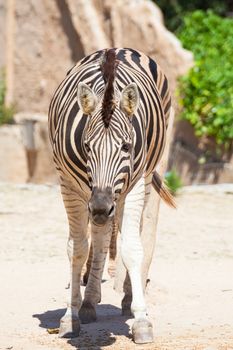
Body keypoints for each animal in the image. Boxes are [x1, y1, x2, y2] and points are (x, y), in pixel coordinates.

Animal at [48, 47, 174, 344]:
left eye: (126, 146)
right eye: (86, 146)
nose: (101, 207)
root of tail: (118, 49)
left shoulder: (134, 184)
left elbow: (132, 247)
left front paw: (142, 320)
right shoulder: (69, 185)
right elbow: (78, 248)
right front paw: (71, 315)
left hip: (150, 172)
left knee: (143, 230)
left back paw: (128, 296)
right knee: (101, 236)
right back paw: (89, 302)